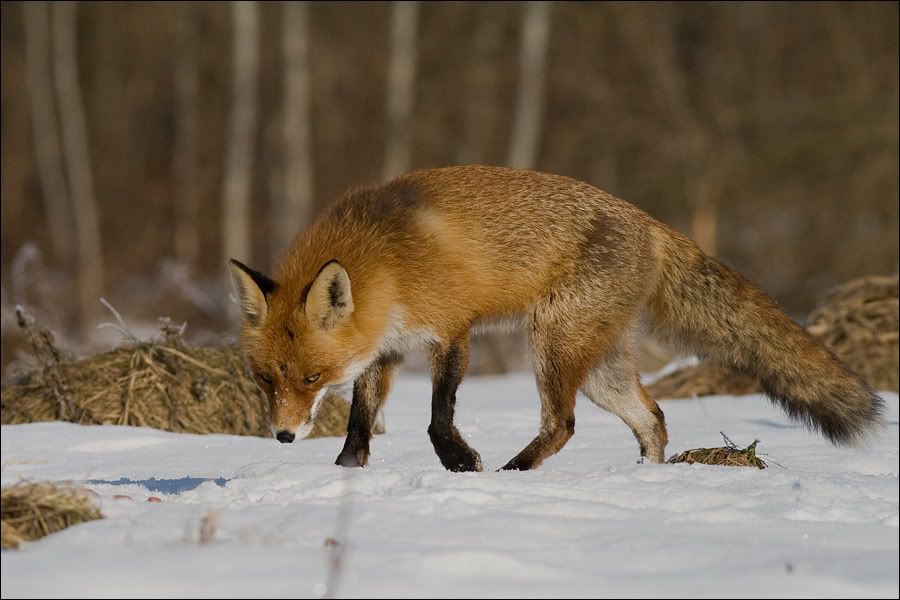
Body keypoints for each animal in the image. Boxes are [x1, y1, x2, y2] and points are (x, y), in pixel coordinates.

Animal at [229, 166, 884, 472]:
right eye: (265, 380)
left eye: (311, 379)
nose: (282, 436)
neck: (386, 260)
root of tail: (649, 221)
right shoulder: (383, 348)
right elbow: (361, 422)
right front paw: (347, 473)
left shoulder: (452, 330)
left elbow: (439, 416)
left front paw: (460, 462)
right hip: (600, 369)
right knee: (652, 419)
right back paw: (646, 480)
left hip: (551, 343)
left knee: (563, 424)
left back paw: (511, 475)